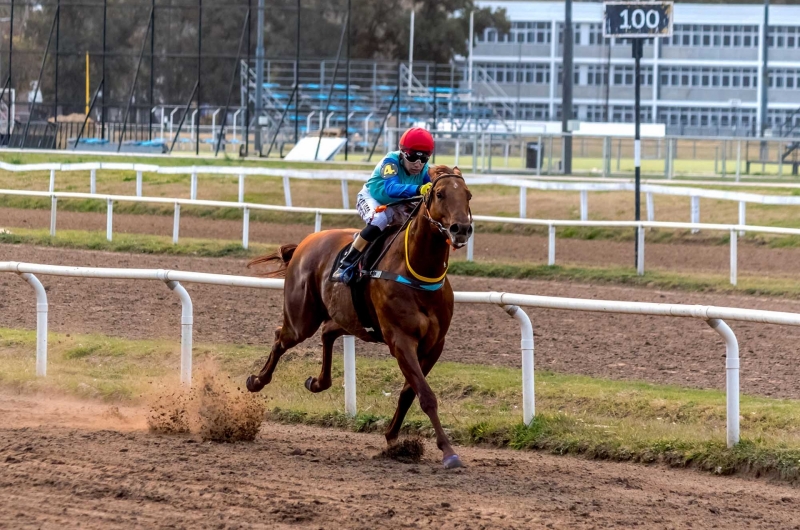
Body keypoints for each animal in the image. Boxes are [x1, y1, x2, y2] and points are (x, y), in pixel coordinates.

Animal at [247, 165, 472, 466]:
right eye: (439, 194)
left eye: (468, 195)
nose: (462, 228)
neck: (416, 272)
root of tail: (306, 242)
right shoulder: (400, 340)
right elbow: (425, 395)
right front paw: (448, 451)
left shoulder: (434, 345)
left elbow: (409, 392)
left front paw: (393, 438)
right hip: (301, 318)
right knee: (281, 338)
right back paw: (256, 381)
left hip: (351, 318)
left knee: (327, 331)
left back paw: (317, 382)